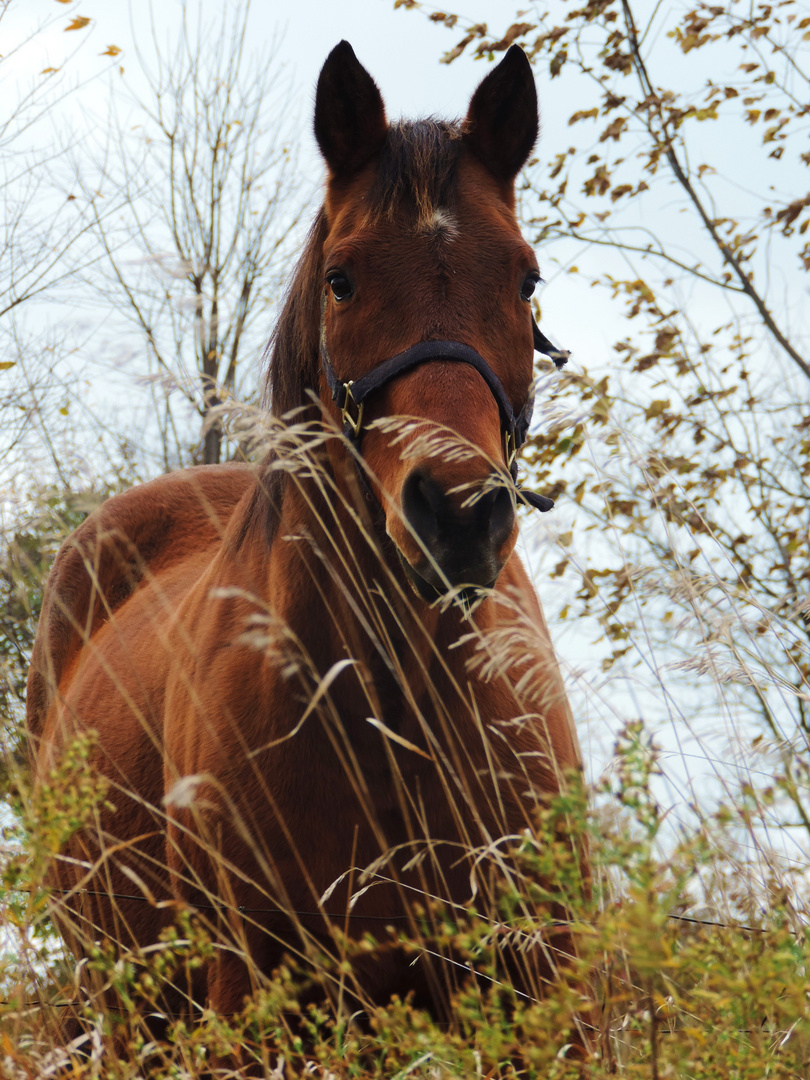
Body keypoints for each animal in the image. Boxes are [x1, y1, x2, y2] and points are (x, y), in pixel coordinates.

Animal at [25, 39, 591, 1062]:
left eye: (525, 279)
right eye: (343, 278)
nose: (458, 517)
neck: (399, 718)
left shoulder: (540, 998)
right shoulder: (253, 1005)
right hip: (120, 1010)